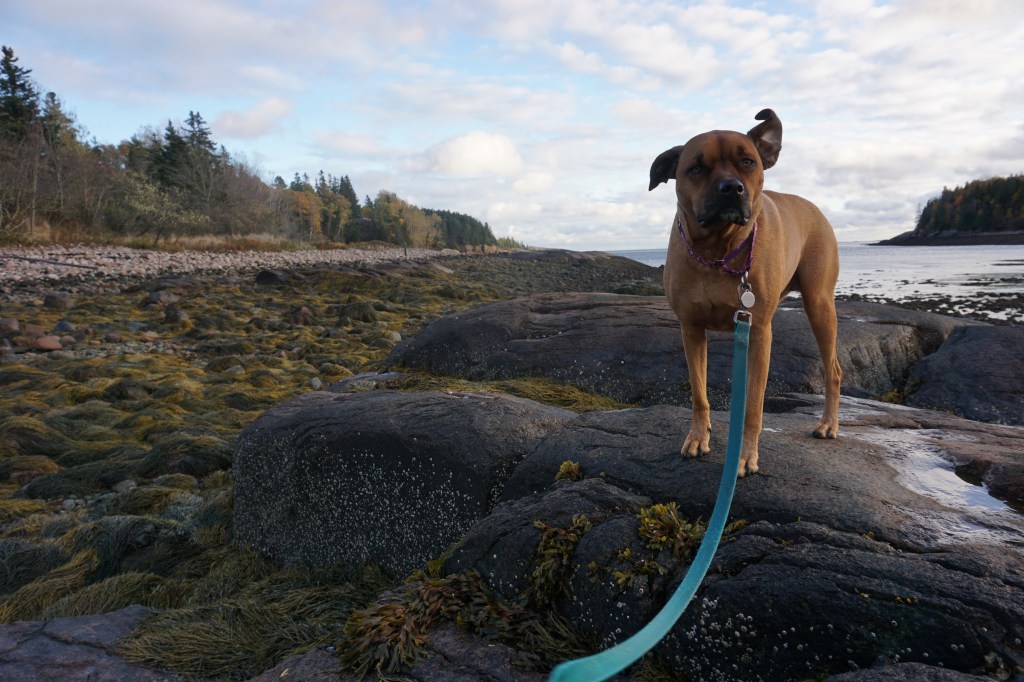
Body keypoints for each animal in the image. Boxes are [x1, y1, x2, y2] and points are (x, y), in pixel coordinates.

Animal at [649, 109, 841, 476]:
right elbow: (699, 394)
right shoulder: (690, 329)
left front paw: (745, 454)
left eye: (747, 162)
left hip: (819, 303)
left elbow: (752, 406)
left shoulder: (759, 332)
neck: (717, 251)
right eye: (696, 167)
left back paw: (828, 424)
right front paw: (698, 436)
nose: (731, 188)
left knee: (834, 371)